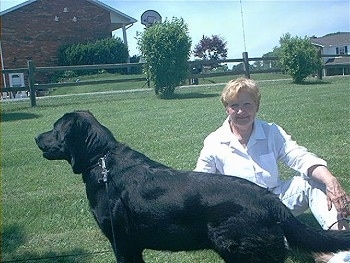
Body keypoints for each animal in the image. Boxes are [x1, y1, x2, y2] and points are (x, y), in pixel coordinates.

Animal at [36, 111, 350, 263]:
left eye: (56, 128)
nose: (36, 137)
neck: (102, 160)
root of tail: (271, 201)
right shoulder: (132, 246)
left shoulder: (121, 241)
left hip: (243, 252)